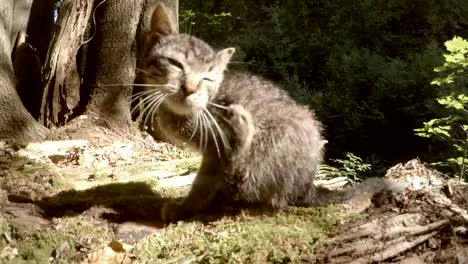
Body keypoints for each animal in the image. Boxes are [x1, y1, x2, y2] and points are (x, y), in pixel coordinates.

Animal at [137, 3, 394, 223]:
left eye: (207, 79)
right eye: (175, 64)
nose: (189, 89)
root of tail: (308, 185)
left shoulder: (214, 151)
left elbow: (203, 183)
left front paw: (185, 207)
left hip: (281, 134)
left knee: (249, 181)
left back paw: (241, 132)